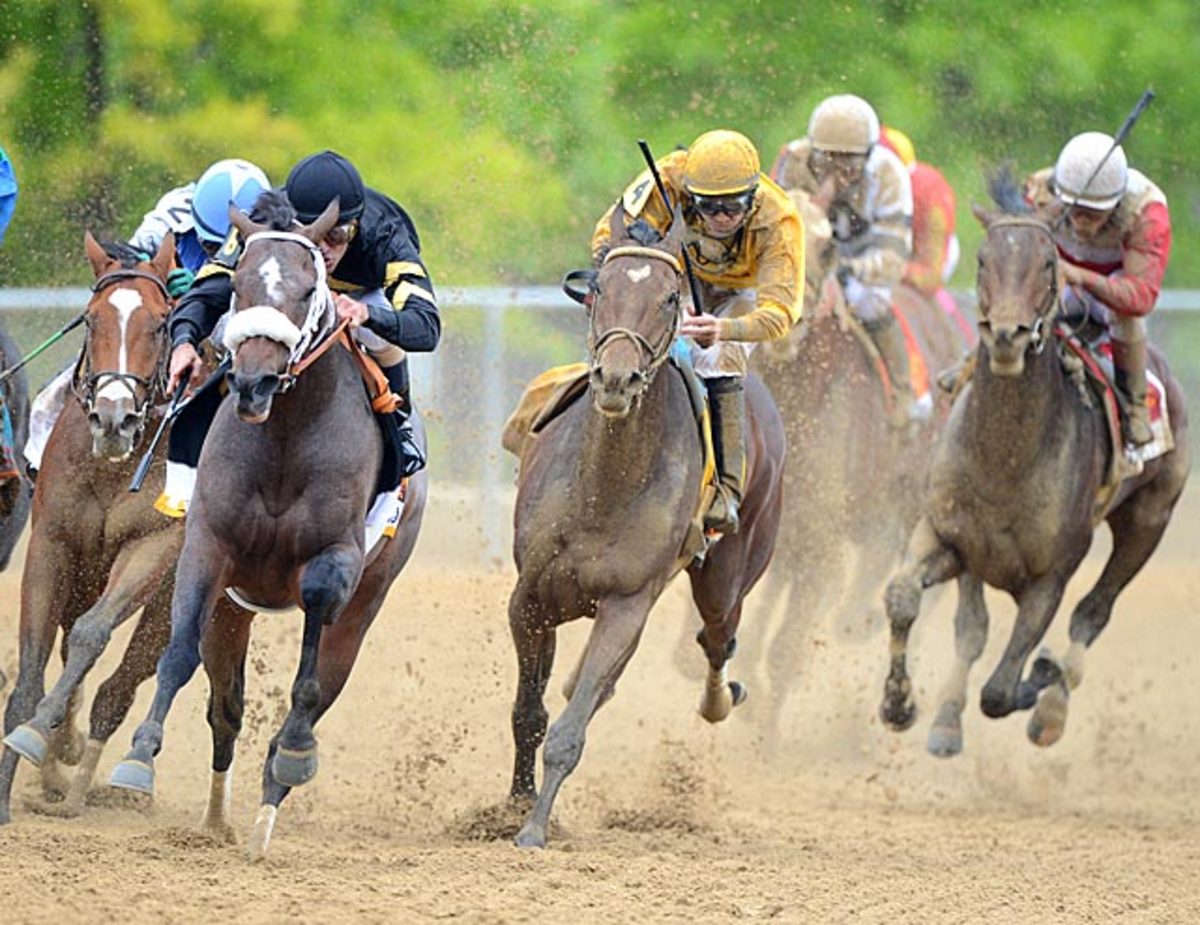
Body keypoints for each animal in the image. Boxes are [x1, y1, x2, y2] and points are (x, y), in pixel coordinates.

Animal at [0, 235, 189, 820]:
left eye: (161, 323)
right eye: (91, 318)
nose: (113, 418)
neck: (110, 468)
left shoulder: (154, 546)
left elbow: (91, 635)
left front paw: (39, 734)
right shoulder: (52, 543)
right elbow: (30, 672)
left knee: (124, 679)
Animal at [108, 193, 427, 859]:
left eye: (307, 290)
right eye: (240, 285)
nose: (253, 382)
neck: (285, 436)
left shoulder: (334, 562)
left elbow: (306, 684)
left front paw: (295, 758)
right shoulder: (209, 549)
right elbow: (178, 655)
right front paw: (139, 757)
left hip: (365, 604)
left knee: (315, 694)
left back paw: (267, 812)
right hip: (235, 608)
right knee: (226, 709)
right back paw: (218, 820)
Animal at [508, 209, 782, 844]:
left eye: (668, 297)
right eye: (602, 287)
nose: (616, 379)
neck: (602, 491)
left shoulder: (626, 605)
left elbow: (568, 731)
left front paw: (534, 827)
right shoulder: (529, 598)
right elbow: (529, 713)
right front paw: (511, 806)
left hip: (730, 568)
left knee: (716, 637)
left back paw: (719, 698)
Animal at [878, 184, 1195, 758]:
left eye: (1048, 264)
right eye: (984, 260)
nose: (1008, 335)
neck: (1005, 462)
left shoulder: (1052, 574)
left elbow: (1000, 691)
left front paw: (1042, 675)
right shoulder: (949, 537)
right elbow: (905, 598)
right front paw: (899, 706)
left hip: (1149, 519)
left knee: (1093, 612)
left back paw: (1050, 707)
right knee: (974, 627)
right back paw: (949, 720)